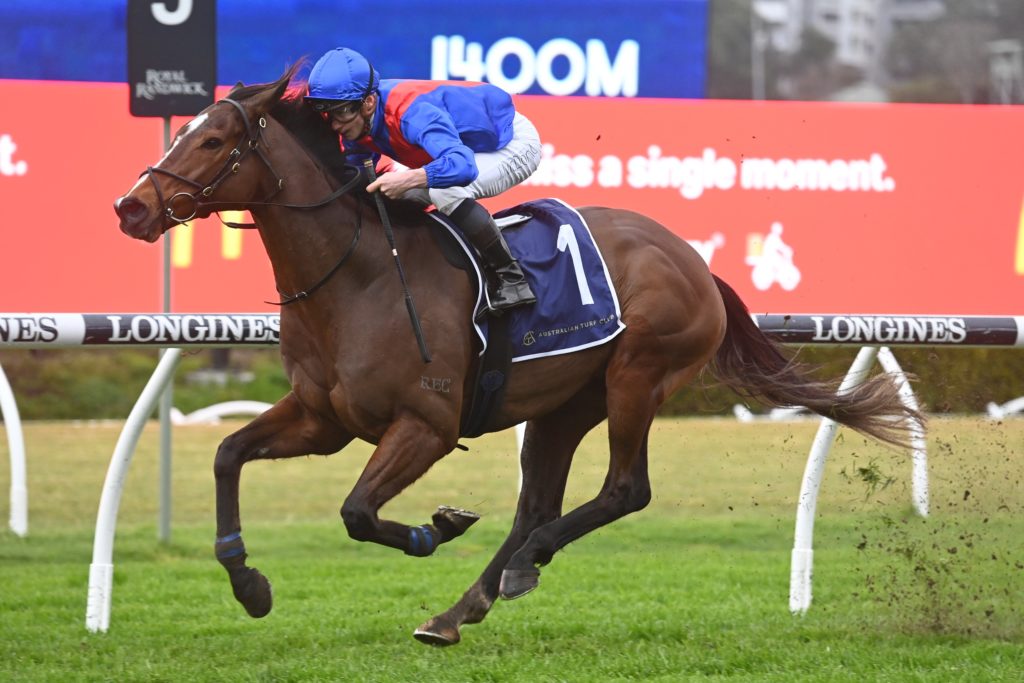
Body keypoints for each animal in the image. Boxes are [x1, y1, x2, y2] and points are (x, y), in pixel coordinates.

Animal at [114, 63, 919, 646]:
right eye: (184, 131)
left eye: (213, 142)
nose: (131, 207)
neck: (358, 276)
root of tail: (692, 260)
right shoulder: (323, 419)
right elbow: (228, 454)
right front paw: (249, 585)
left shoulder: (428, 425)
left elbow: (357, 511)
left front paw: (434, 526)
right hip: (565, 404)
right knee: (537, 504)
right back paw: (459, 610)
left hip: (637, 377)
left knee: (623, 491)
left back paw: (520, 568)